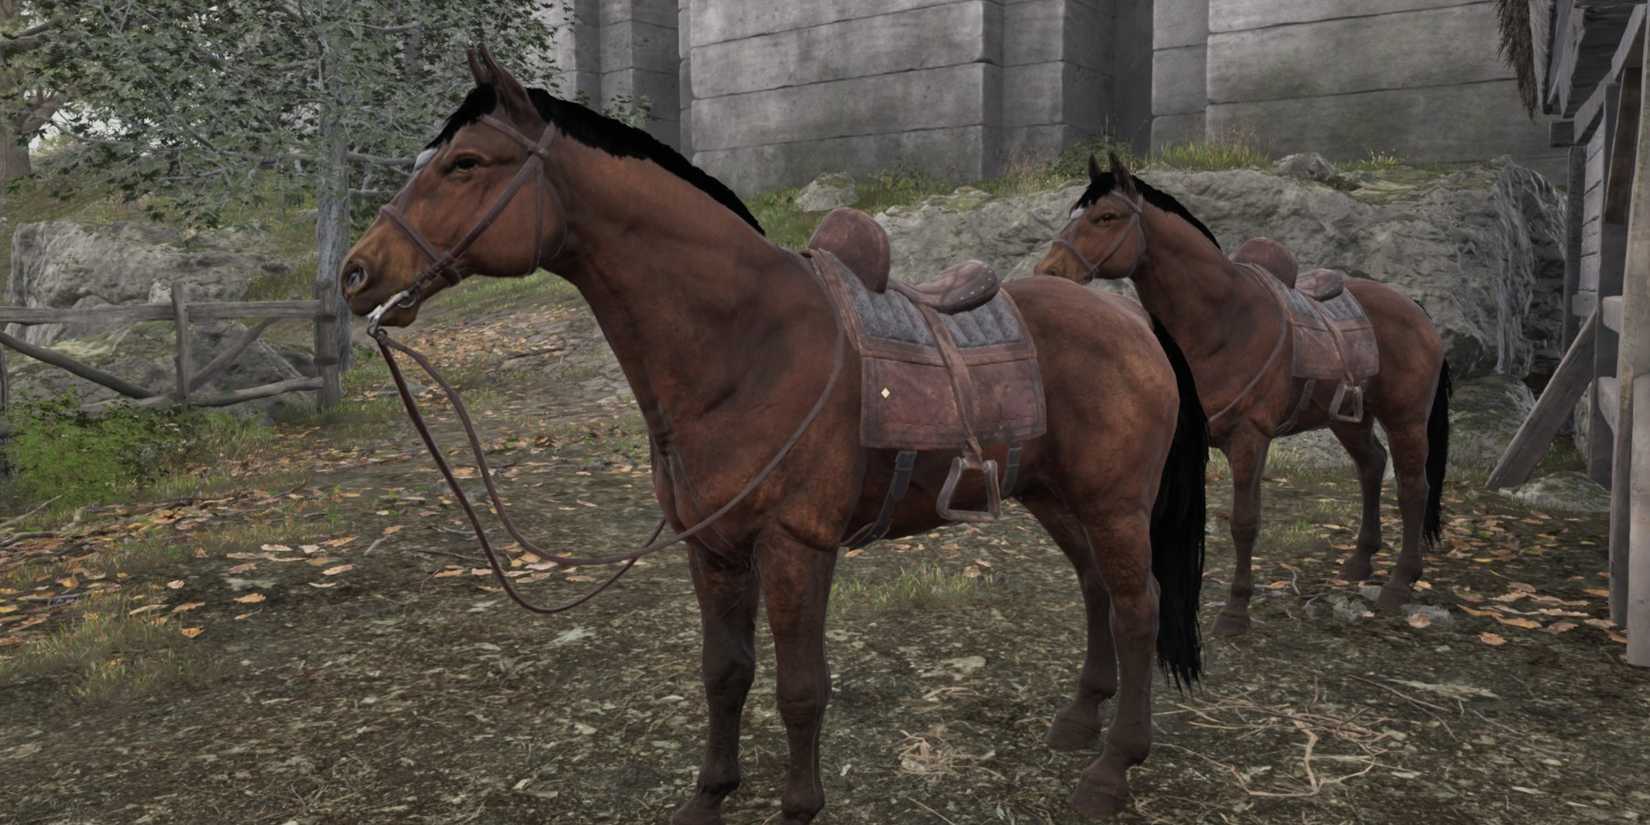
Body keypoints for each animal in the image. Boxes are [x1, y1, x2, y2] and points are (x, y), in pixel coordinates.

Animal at [341, 48, 1210, 822]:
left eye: (465, 164)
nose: (356, 273)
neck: (748, 344)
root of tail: (1134, 323)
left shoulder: (797, 543)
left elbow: (799, 686)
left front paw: (797, 804)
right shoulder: (713, 545)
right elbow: (725, 671)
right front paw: (709, 794)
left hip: (1114, 503)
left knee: (1137, 606)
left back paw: (1112, 767)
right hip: (1054, 494)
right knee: (1096, 587)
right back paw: (1079, 722)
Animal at [1035, 153, 1451, 636]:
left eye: (1106, 217)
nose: (1049, 273)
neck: (1224, 322)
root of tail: (1417, 312)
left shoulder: (1250, 439)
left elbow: (1244, 523)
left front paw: (1236, 610)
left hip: (1405, 419)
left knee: (1412, 487)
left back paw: (1400, 582)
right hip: (1350, 418)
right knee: (1371, 466)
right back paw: (1360, 561)